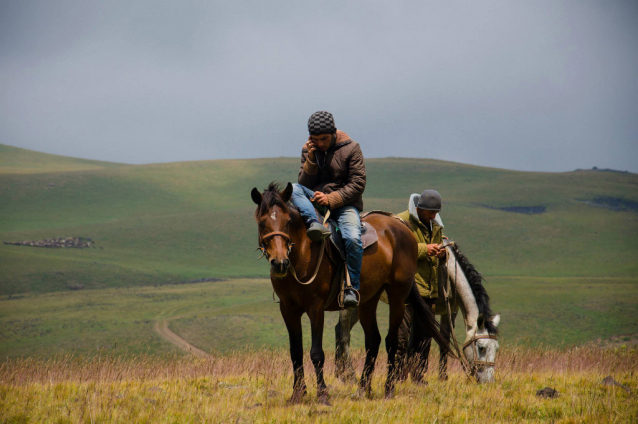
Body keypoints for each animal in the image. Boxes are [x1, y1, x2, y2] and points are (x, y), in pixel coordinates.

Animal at [251, 181, 450, 400]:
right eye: (261, 223)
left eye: (287, 222)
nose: (279, 263)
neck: (302, 253)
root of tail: (401, 228)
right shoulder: (288, 309)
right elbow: (295, 351)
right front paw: (298, 394)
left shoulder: (316, 307)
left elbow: (316, 353)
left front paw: (323, 394)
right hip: (368, 299)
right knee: (373, 340)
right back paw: (363, 388)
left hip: (398, 295)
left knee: (392, 341)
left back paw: (388, 389)